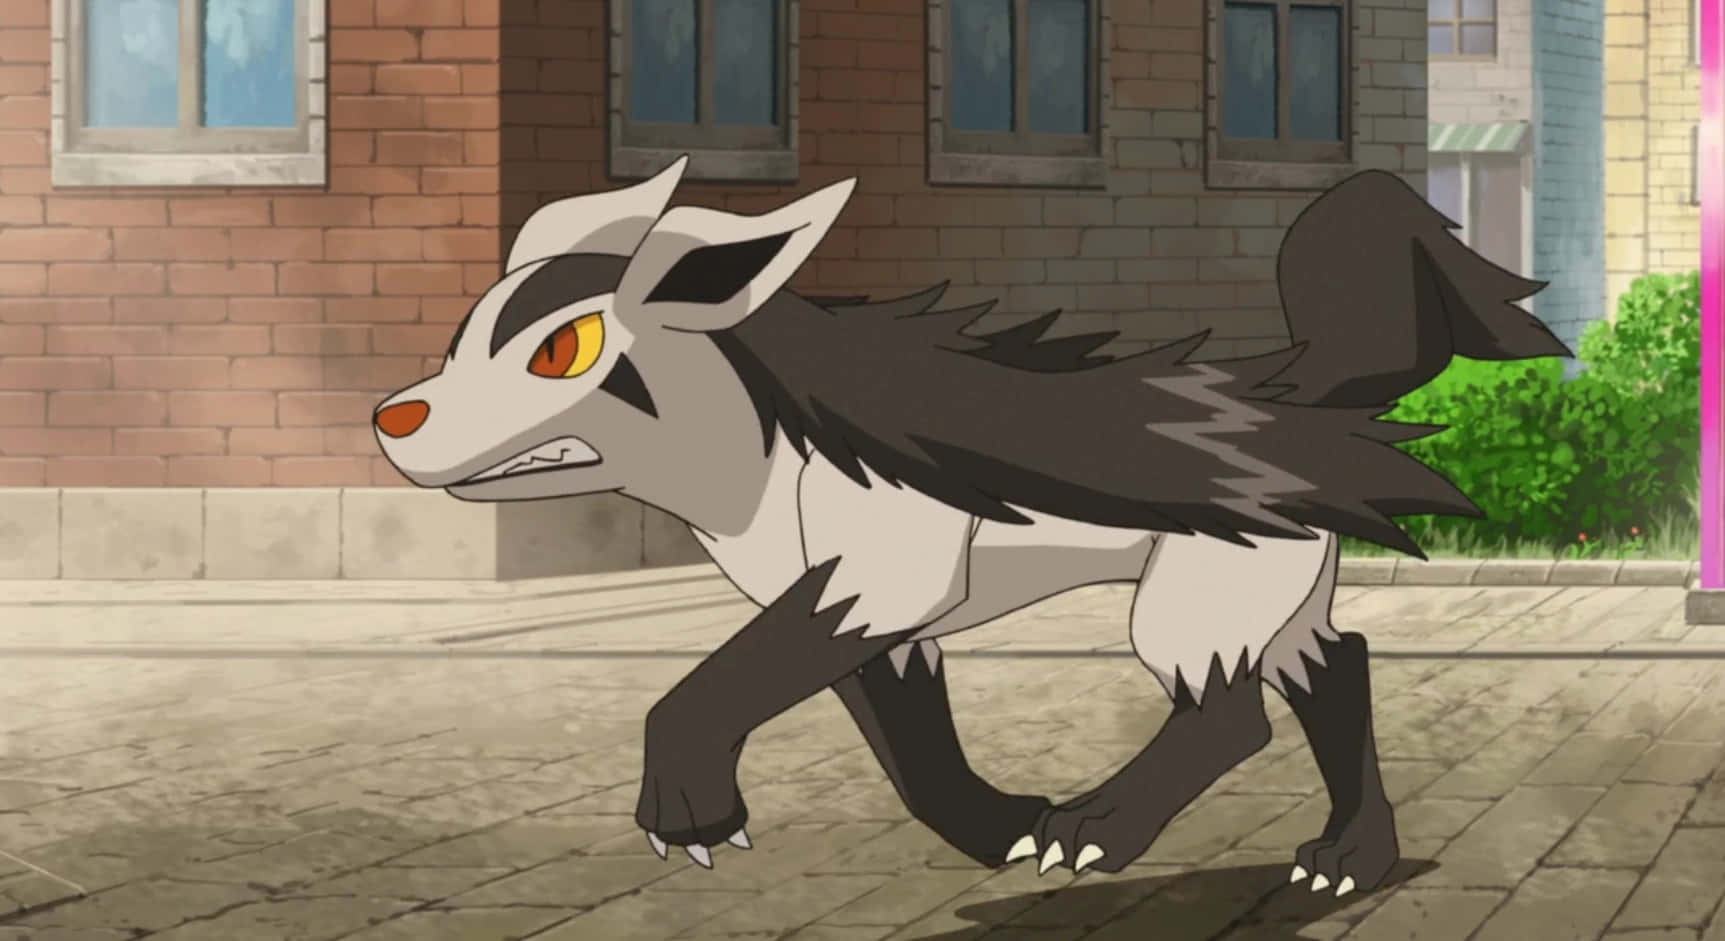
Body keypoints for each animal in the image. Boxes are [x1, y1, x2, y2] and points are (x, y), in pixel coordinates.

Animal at [373, 156, 1570, 898]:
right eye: (462, 334)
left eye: (562, 351)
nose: (391, 419)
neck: (755, 453)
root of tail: (1294, 398)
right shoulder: (877, 617)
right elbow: (914, 755)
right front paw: (1001, 825)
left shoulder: (874, 576)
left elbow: (710, 684)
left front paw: (690, 808)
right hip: (1262, 595)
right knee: (1336, 663)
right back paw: (1348, 855)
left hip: (1192, 595)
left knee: (1234, 714)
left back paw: (1101, 830)